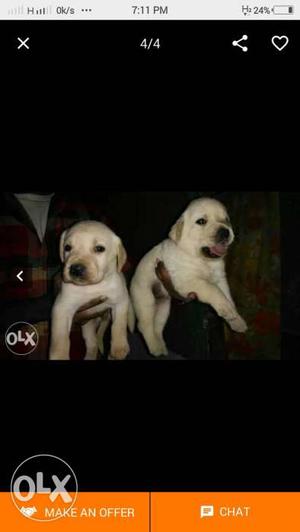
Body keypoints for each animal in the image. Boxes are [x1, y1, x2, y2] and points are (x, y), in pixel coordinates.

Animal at [50, 220, 134, 362]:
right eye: (67, 247)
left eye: (99, 248)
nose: (76, 269)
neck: (92, 286)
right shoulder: (62, 308)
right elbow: (60, 337)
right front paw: (59, 356)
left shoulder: (120, 301)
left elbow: (118, 326)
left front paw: (119, 348)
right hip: (87, 326)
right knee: (92, 344)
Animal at [131, 197, 248, 356]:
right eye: (201, 221)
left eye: (226, 220)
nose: (225, 232)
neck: (202, 260)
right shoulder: (186, 281)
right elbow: (212, 290)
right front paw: (227, 310)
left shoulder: (220, 279)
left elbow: (228, 297)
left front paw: (237, 321)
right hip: (145, 299)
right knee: (144, 325)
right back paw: (154, 348)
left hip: (164, 306)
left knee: (157, 326)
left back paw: (161, 347)